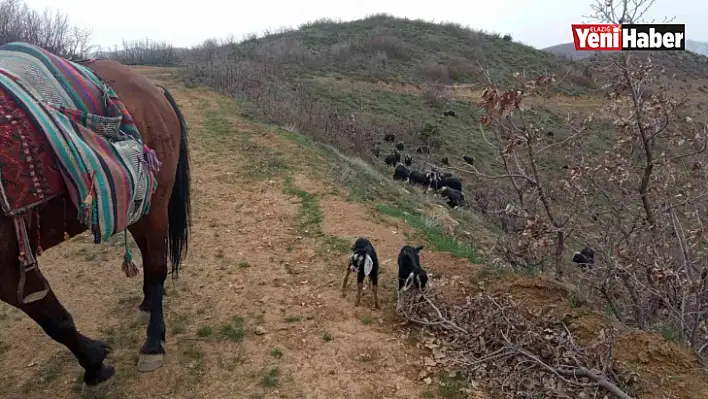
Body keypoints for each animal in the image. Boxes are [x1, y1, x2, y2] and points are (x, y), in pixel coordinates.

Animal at [0, 58, 191, 388]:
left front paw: (94, 364)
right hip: (138, 206)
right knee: (148, 255)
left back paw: (153, 344)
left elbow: (55, 321)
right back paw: (146, 307)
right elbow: (50, 318)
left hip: (155, 204)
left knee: (156, 265)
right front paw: (95, 358)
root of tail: (153, 89)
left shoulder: (7, 265)